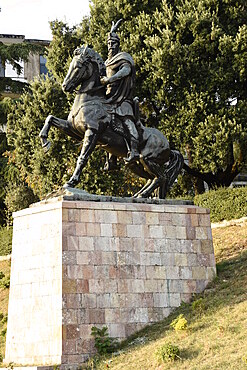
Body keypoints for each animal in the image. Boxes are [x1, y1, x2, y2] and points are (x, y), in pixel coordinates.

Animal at [39, 46, 183, 198]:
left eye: (78, 66)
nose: (65, 86)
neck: (90, 100)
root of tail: (169, 146)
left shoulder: (92, 132)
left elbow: (82, 158)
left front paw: (71, 182)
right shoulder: (74, 130)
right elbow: (50, 118)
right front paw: (45, 143)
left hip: (147, 159)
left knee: (161, 177)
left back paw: (143, 195)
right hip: (136, 164)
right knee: (153, 178)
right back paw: (139, 195)